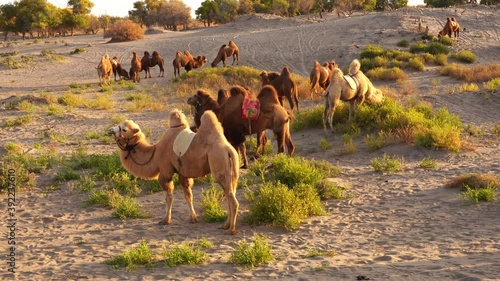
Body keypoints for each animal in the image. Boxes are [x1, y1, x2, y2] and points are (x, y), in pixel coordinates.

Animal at [109, 108, 240, 233]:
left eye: (124, 129)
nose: (110, 130)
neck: (154, 153)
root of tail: (228, 149)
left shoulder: (165, 171)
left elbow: (169, 197)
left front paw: (166, 220)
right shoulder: (183, 173)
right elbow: (188, 195)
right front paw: (193, 218)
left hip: (218, 163)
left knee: (232, 199)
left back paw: (231, 229)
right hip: (232, 171)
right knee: (230, 194)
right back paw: (225, 225)